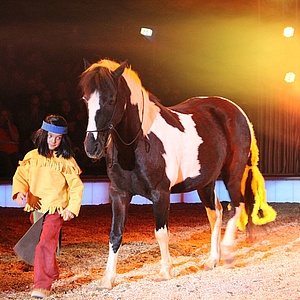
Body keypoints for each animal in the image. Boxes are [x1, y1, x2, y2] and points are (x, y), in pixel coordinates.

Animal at [78, 59, 276, 290]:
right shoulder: (119, 194)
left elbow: (161, 232)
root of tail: (237, 111)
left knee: (236, 206)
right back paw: (213, 259)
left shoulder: (160, 193)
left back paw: (227, 253)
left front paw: (165, 271)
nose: (92, 147)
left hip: (232, 174)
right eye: (85, 99)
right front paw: (108, 278)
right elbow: (115, 234)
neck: (139, 143)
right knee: (216, 213)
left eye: (111, 100)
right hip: (206, 183)